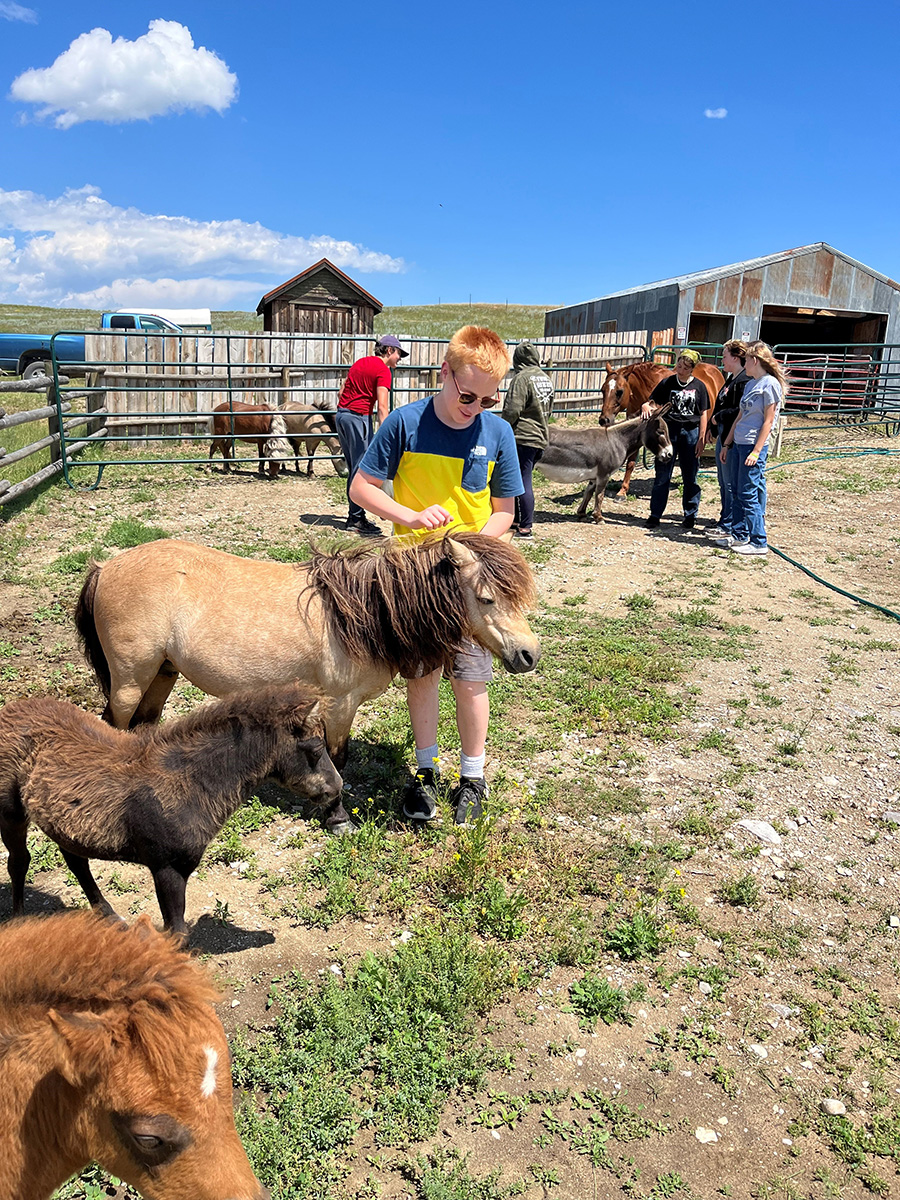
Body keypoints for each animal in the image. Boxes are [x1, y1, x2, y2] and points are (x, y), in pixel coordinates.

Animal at [0, 686, 340, 936]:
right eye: (315, 748)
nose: (336, 788)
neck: (190, 781)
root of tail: (10, 710)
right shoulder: (167, 868)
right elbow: (176, 932)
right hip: (11, 813)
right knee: (19, 862)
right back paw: (19, 922)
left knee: (75, 861)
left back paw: (110, 917)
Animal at [540, 410, 672, 523]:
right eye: (661, 432)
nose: (670, 455)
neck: (616, 441)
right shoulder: (604, 474)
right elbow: (600, 495)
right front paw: (599, 517)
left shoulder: (594, 478)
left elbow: (588, 493)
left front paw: (582, 514)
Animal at [600, 360, 724, 501]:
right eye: (603, 389)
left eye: (619, 391)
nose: (604, 420)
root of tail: (714, 369)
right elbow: (631, 462)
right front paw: (622, 491)